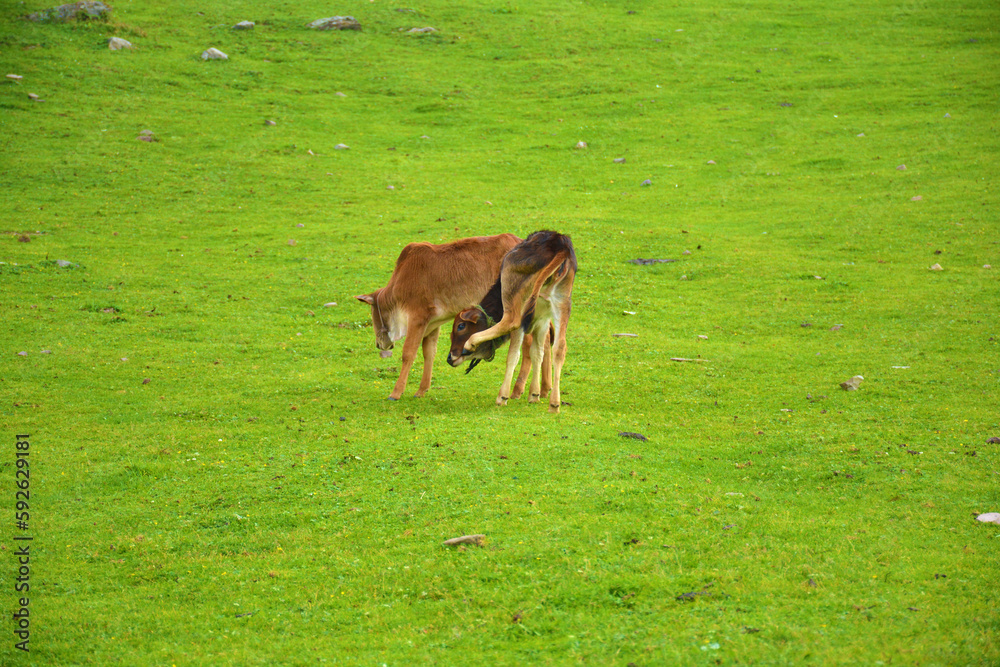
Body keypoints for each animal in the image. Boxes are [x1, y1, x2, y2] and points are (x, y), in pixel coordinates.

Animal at [354, 235, 524, 402]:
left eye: (373, 314)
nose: (378, 344)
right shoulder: (433, 323)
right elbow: (429, 353)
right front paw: (421, 390)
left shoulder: (417, 318)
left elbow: (408, 353)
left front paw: (396, 392)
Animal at [458, 232, 576, 414]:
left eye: (460, 326)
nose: (451, 357)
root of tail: (560, 243)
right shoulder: (543, 319)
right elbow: (538, 352)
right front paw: (534, 394)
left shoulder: (527, 320)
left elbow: (514, 355)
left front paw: (503, 396)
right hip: (563, 301)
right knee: (560, 346)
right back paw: (554, 403)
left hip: (513, 284)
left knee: (510, 321)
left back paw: (472, 343)